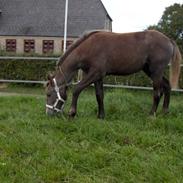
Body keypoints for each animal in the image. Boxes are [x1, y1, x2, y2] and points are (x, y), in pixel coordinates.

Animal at [45, 30, 182, 118]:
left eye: (48, 94)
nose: (48, 113)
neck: (89, 48)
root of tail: (168, 39)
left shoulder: (95, 73)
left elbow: (77, 89)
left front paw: (72, 112)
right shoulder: (97, 77)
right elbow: (99, 95)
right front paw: (101, 116)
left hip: (156, 71)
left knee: (157, 93)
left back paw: (151, 115)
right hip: (150, 71)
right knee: (167, 86)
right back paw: (165, 111)